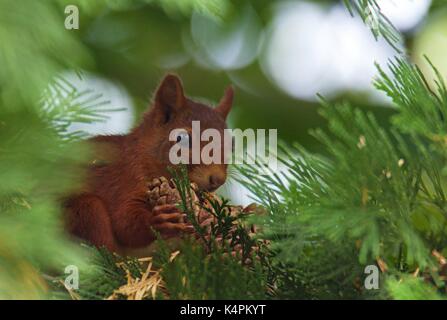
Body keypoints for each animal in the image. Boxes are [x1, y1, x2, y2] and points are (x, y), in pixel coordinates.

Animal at [66, 74, 234, 254]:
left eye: (232, 145)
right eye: (183, 138)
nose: (217, 179)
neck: (145, 158)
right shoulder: (123, 179)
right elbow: (124, 222)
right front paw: (159, 221)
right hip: (86, 210)